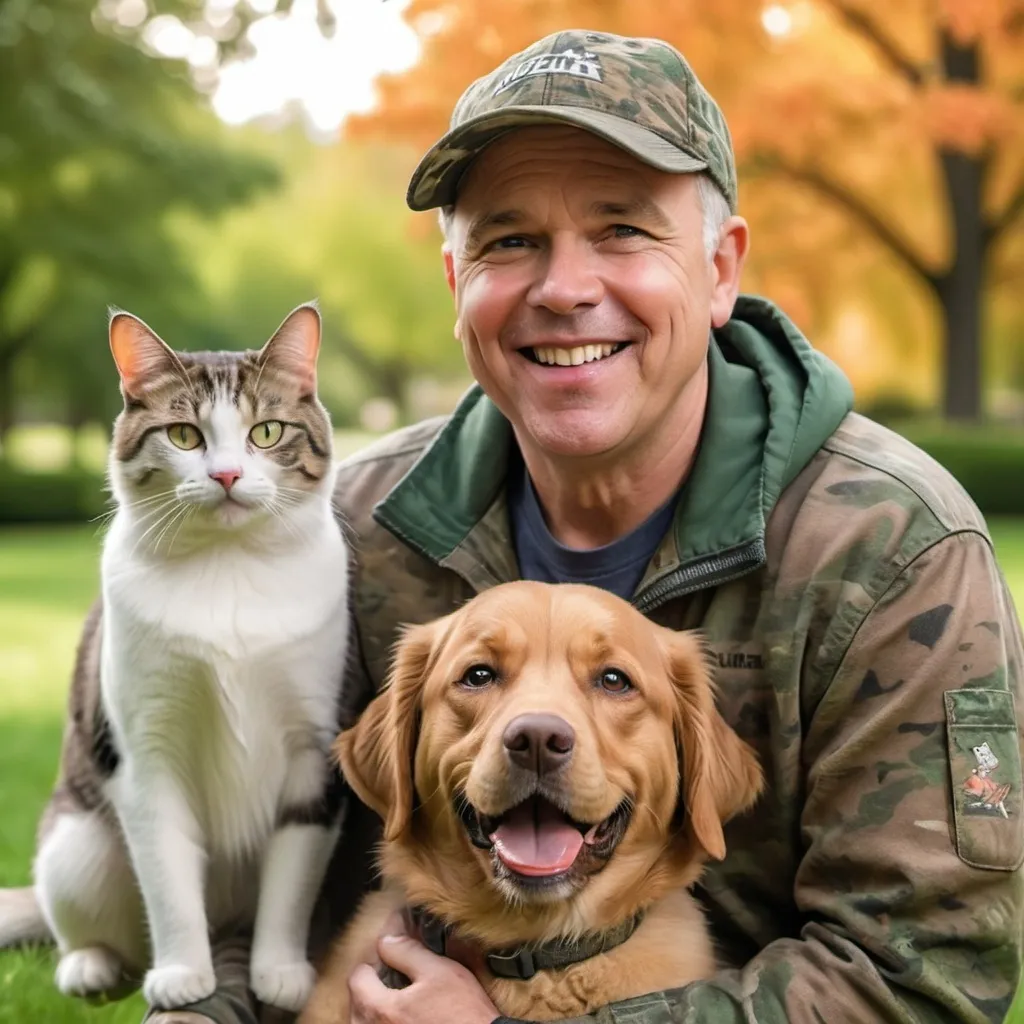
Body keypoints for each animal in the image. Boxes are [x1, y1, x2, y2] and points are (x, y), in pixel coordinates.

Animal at [1, 299, 348, 1011]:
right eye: (185, 436)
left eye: (267, 432)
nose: (226, 474)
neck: (228, 569)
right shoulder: (145, 752)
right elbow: (167, 876)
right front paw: (184, 975)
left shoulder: (313, 747)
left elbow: (292, 875)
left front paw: (280, 971)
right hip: (77, 846)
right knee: (79, 924)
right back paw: (90, 966)